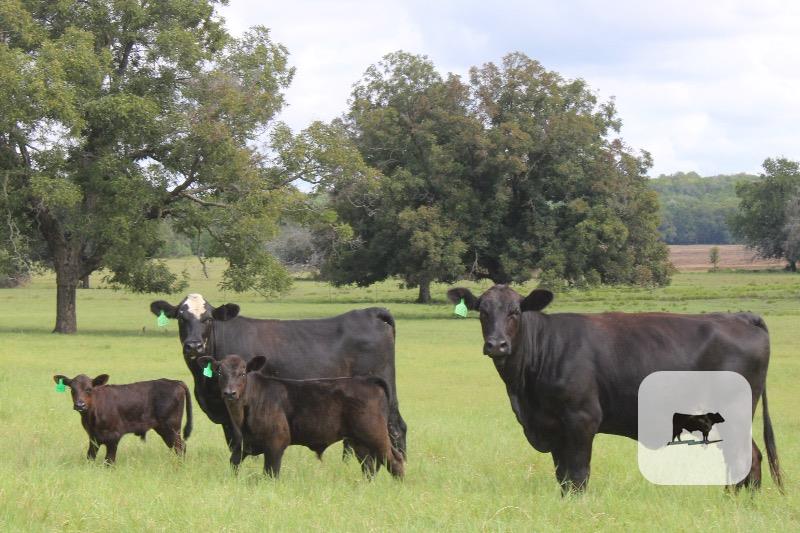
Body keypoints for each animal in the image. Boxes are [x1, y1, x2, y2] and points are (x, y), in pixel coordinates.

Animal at [52, 373, 192, 464]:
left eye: (89, 389)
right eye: (72, 389)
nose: (80, 405)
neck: (92, 417)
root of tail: (176, 382)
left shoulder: (114, 437)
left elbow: (109, 461)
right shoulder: (93, 438)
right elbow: (90, 457)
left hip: (171, 427)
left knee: (180, 447)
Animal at [149, 294, 407, 458]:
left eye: (208, 318)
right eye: (181, 317)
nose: (193, 346)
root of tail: (369, 312)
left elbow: (239, 443)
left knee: (396, 428)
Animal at [198, 354, 404, 479]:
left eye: (242, 373)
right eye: (219, 372)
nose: (229, 393)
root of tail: (367, 379)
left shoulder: (276, 442)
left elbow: (270, 473)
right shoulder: (244, 444)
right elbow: (233, 464)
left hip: (375, 434)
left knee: (395, 460)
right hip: (358, 440)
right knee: (369, 465)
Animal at [447, 285, 782, 494]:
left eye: (515, 311)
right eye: (482, 311)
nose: (497, 344)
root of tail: (740, 316)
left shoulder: (581, 419)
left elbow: (577, 475)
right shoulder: (553, 427)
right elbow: (562, 476)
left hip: (737, 413)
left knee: (747, 457)